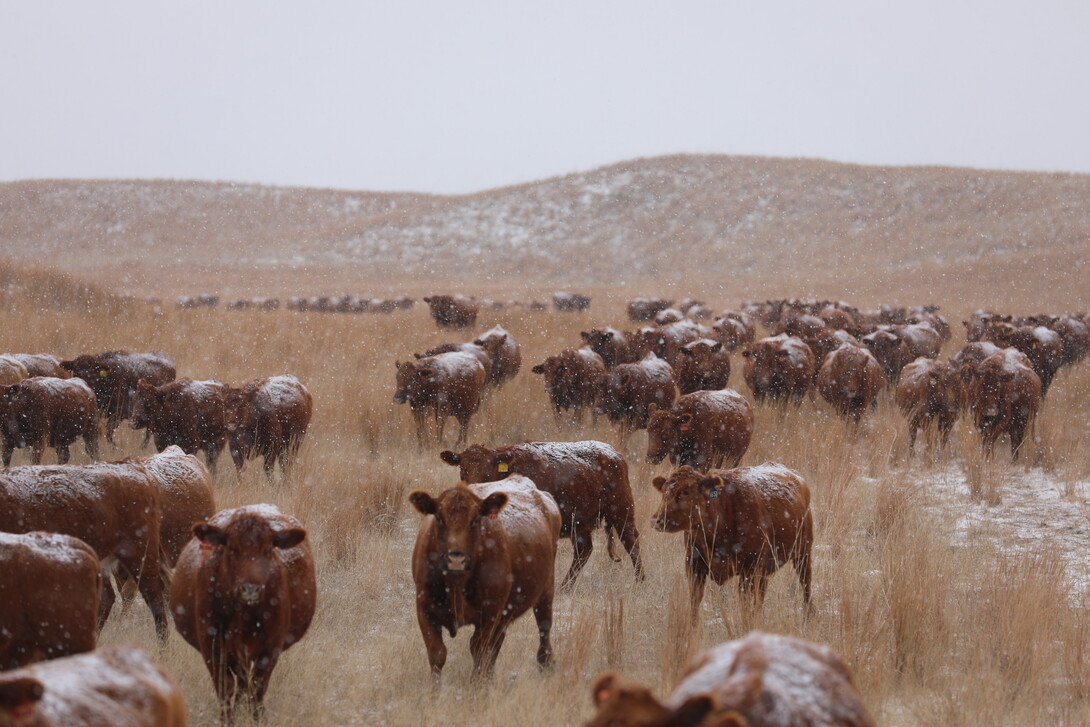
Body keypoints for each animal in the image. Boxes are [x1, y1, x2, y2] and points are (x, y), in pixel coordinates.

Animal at [171, 504, 316, 720]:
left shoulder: (271, 648)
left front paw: (257, 719)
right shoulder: (211, 646)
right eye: (232, 547)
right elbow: (225, 688)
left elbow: (257, 688)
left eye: (268, 549)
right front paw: (226, 720)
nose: (250, 589)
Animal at [409, 477, 561, 680]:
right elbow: (437, 654)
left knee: (544, 630)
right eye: (439, 518)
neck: (456, 583)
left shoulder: (489, 613)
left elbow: (478, 651)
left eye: (475, 519)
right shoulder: (424, 609)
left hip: (545, 592)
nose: (456, 558)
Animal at [439, 441, 642, 587]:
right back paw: (565, 587)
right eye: (463, 469)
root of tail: (615, 454)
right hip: (580, 525)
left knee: (631, 541)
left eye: (487, 471)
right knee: (583, 551)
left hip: (621, 512)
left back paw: (640, 581)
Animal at [651, 463, 813, 620]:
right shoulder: (694, 566)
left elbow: (746, 605)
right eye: (663, 491)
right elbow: (695, 604)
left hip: (803, 554)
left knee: (805, 585)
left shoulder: (750, 569)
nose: (657, 520)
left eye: (685, 491)